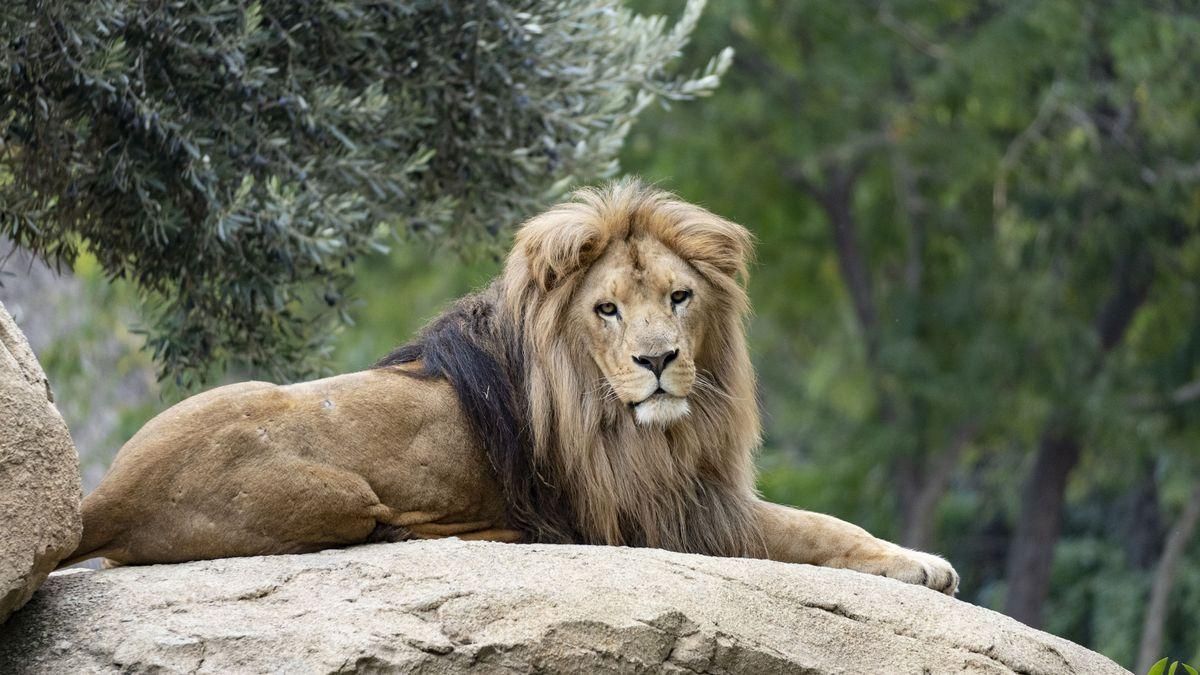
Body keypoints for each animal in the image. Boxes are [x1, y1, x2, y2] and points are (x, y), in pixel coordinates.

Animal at [63, 180, 955, 593]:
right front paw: (919, 565)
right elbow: (812, 528)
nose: (659, 360)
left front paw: (922, 560)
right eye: (606, 309)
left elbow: (823, 522)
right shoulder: (664, 514)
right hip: (333, 491)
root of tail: (103, 494)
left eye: (679, 297)